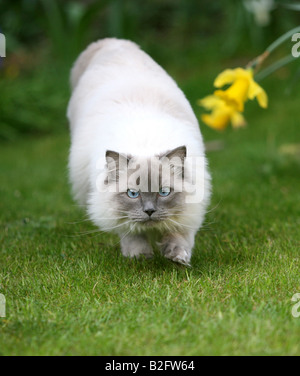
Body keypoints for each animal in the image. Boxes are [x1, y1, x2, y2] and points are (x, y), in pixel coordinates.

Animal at [66, 38, 211, 266]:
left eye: (164, 192)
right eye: (133, 194)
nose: (149, 211)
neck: (145, 143)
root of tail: (112, 42)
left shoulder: (188, 213)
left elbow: (179, 238)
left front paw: (177, 258)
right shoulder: (119, 216)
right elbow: (132, 234)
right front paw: (141, 258)